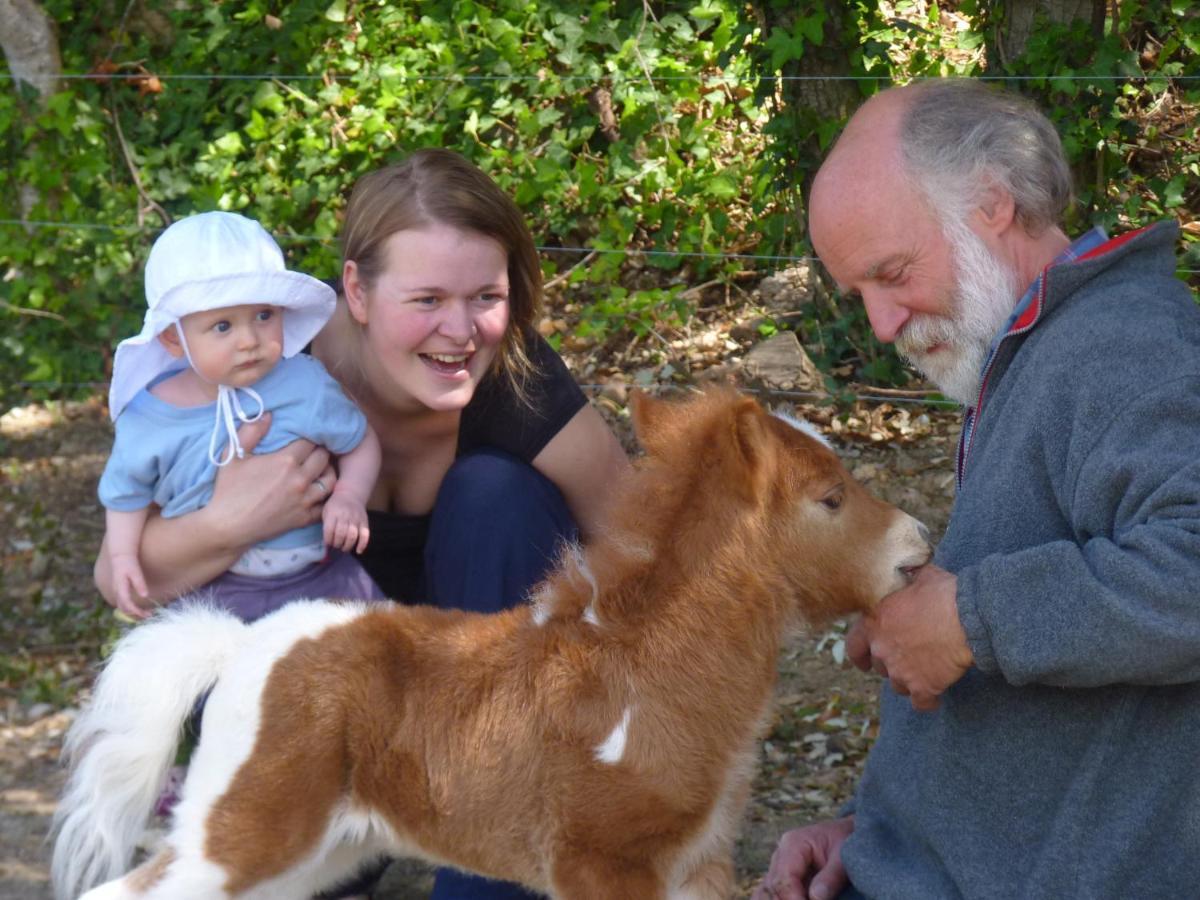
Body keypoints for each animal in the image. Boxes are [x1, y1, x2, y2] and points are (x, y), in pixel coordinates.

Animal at [51, 388, 931, 900]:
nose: (917, 541)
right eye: (830, 498)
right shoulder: (601, 865)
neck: (648, 669)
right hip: (247, 827)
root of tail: (239, 645)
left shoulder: (696, 863)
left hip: (315, 850)